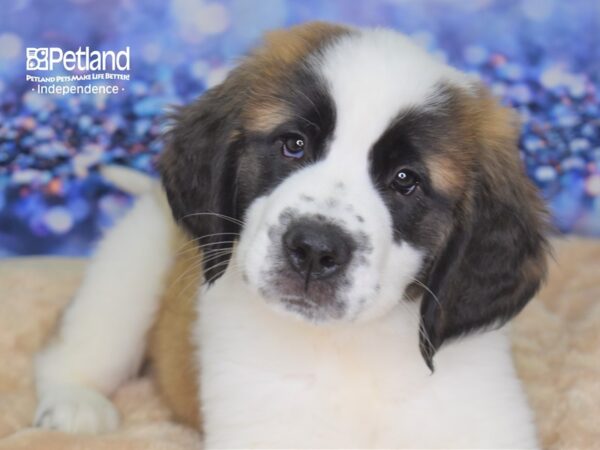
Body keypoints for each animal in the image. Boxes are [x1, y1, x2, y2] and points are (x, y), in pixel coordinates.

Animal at [31, 22, 548, 448]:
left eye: (406, 180)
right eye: (293, 145)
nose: (314, 249)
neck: (351, 349)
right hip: (131, 269)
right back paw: (73, 402)